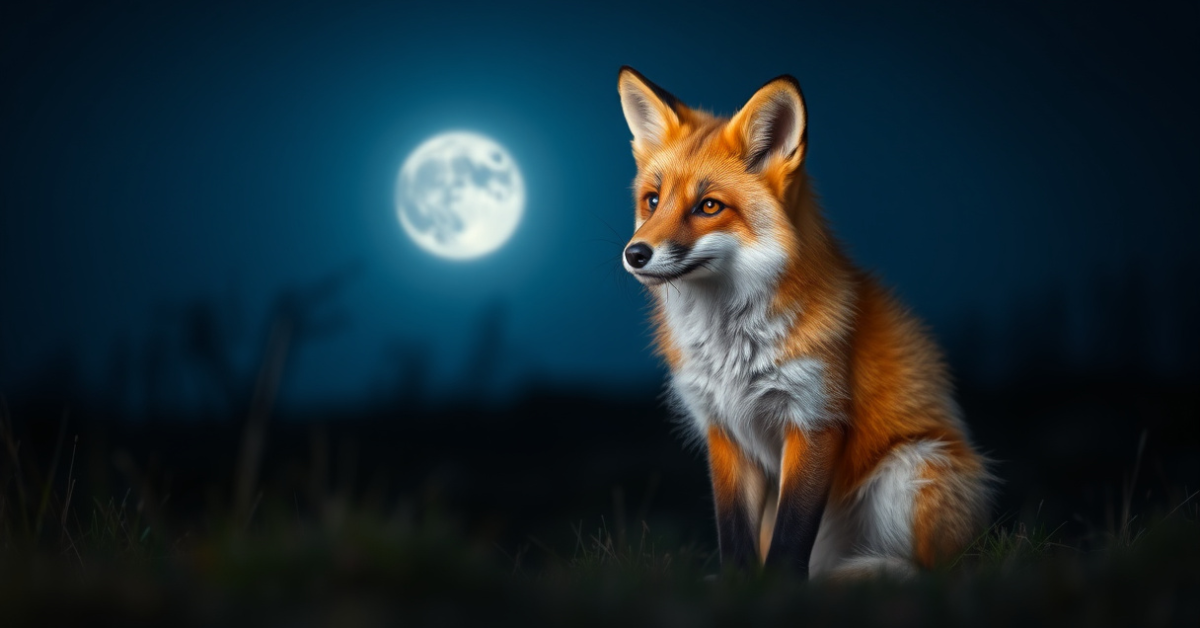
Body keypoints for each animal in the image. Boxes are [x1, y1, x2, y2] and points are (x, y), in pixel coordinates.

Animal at [616, 66, 993, 579]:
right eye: (652, 201)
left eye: (709, 206)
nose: (635, 254)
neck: (731, 346)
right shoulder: (724, 429)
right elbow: (734, 534)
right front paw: (738, 588)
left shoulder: (814, 420)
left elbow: (790, 537)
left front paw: (776, 590)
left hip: (912, 467)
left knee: (930, 571)